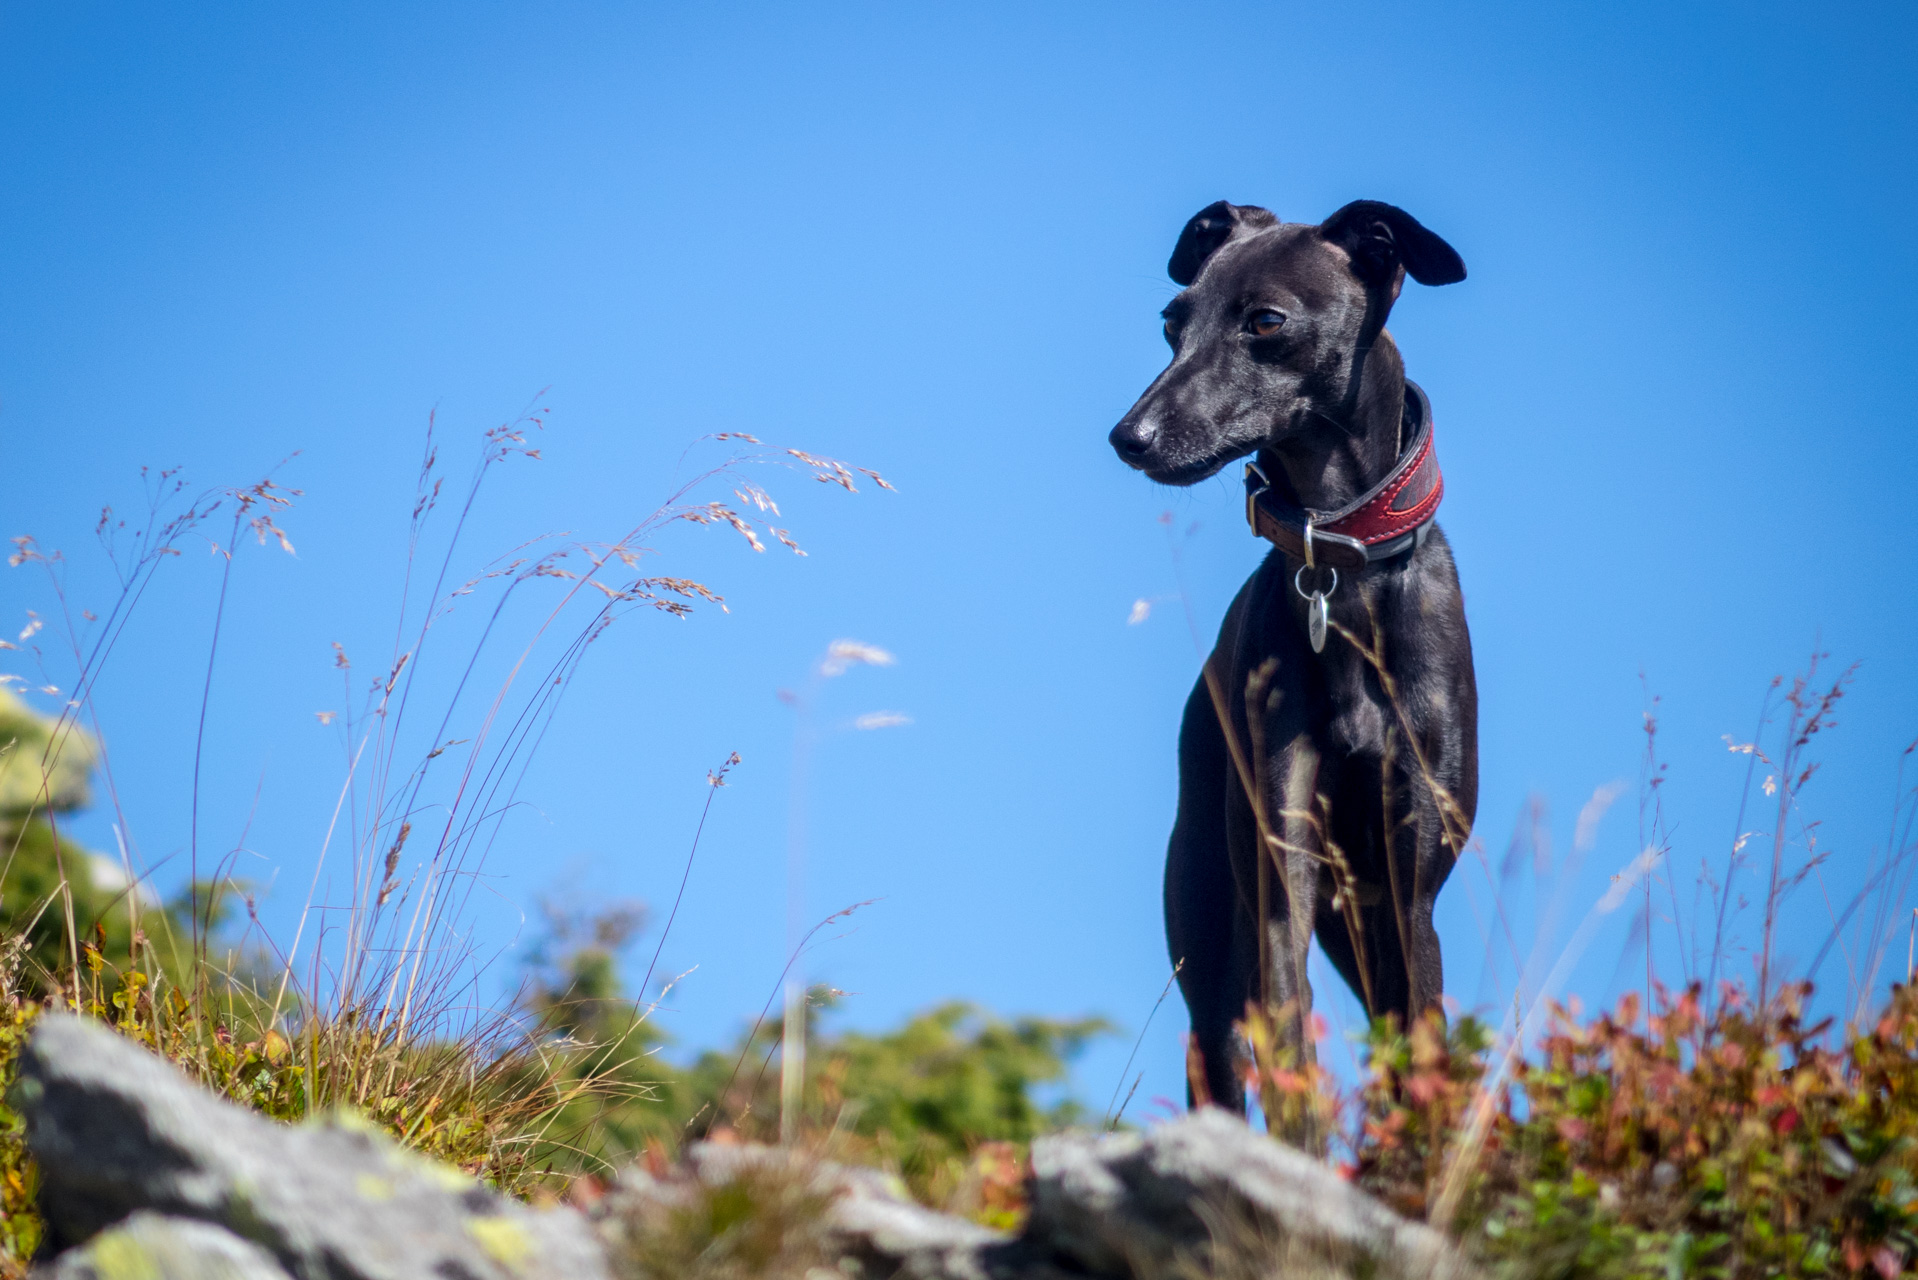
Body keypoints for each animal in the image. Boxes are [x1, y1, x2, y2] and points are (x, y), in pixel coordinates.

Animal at [1104, 197, 1473, 1113]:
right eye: (1172, 321)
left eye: (1266, 321)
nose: (1129, 437)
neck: (1341, 575)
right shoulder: (1283, 873)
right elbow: (1290, 1050)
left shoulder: (1411, 888)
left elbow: (1419, 1052)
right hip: (1211, 931)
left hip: (1365, 923)